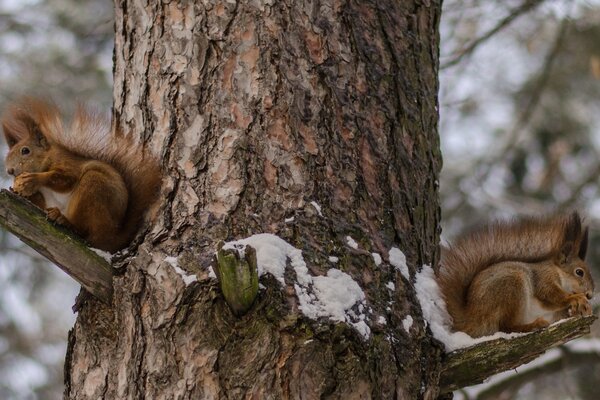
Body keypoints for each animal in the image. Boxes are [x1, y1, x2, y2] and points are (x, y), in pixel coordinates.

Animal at [1, 98, 162, 252]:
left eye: (25, 151)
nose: (10, 171)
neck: (47, 158)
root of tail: (114, 237)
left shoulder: (68, 165)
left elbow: (65, 179)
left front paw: (33, 179)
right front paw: (18, 190)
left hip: (94, 187)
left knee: (85, 230)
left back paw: (66, 221)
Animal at [436, 212, 596, 338]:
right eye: (579, 272)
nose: (590, 295)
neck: (558, 272)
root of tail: (471, 317)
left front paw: (579, 309)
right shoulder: (543, 277)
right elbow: (550, 294)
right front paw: (576, 299)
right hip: (512, 286)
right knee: (506, 327)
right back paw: (534, 325)